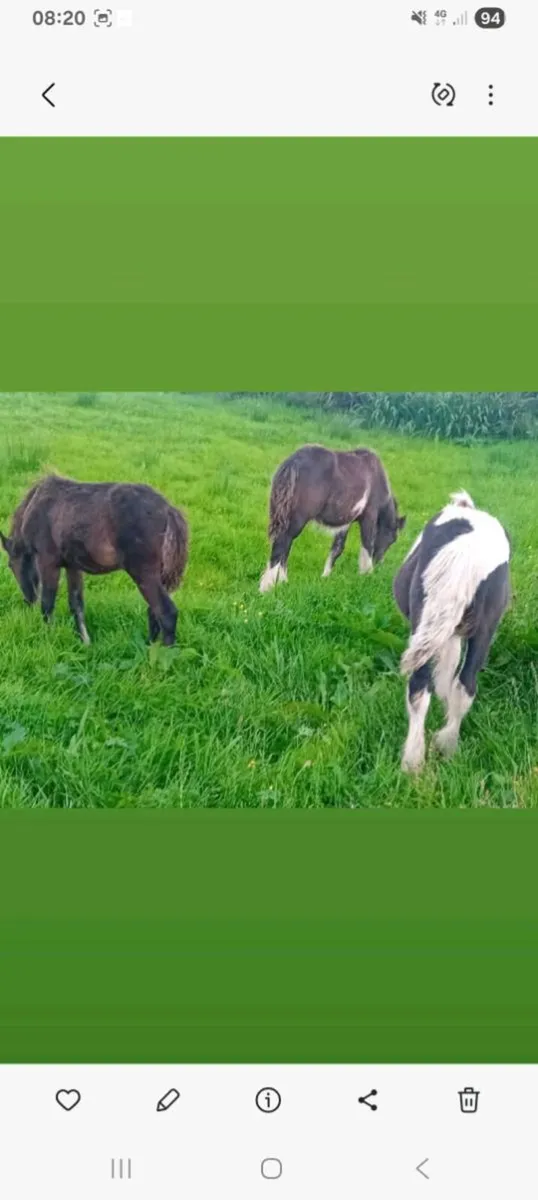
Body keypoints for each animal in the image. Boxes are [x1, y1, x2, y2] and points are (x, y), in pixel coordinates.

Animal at [1, 475, 189, 646]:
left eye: (11, 565)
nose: (29, 600)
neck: (35, 507)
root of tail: (168, 510)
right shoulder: (72, 566)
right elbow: (76, 604)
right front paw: (85, 642)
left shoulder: (48, 562)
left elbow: (47, 603)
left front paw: (49, 637)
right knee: (153, 611)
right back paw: (148, 646)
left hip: (143, 573)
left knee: (166, 612)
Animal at [259, 444, 406, 592]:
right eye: (392, 539)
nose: (378, 562)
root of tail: (293, 462)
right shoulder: (369, 515)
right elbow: (367, 544)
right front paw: (367, 573)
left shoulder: (345, 521)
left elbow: (337, 548)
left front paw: (326, 576)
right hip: (296, 521)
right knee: (282, 544)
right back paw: (267, 587)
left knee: (285, 547)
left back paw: (283, 582)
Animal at [393, 490, 511, 773]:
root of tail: (468, 551)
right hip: (484, 630)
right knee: (466, 684)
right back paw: (447, 746)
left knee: (419, 688)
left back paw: (413, 762)